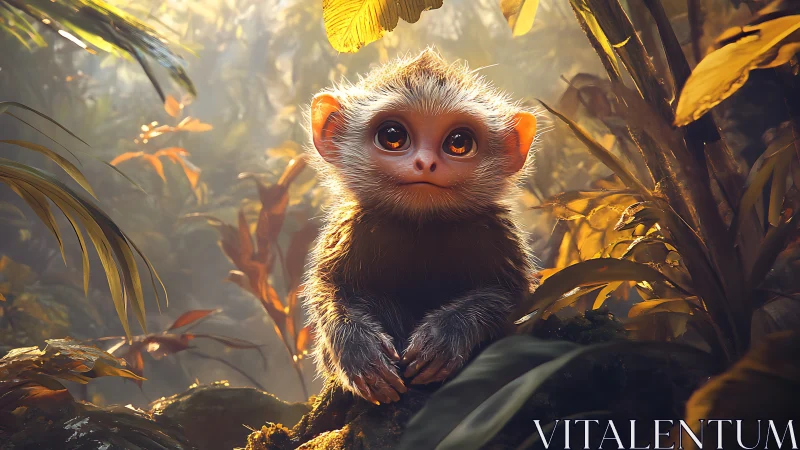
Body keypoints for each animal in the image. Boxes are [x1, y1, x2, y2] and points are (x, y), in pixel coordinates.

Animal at [303, 48, 540, 406]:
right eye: (393, 136)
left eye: (459, 142)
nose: (426, 163)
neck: (421, 227)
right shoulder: (351, 227)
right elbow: (327, 289)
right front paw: (360, 351)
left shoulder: (495, 230)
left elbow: (510, 296)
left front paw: (446, 337)